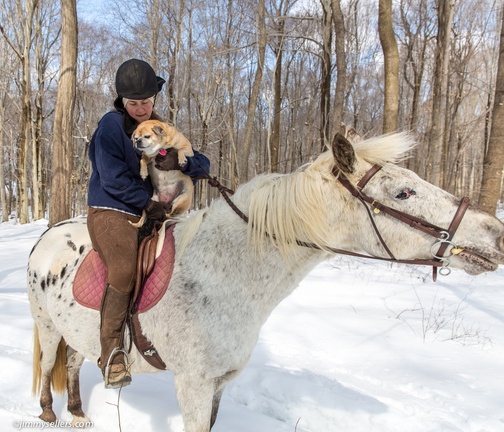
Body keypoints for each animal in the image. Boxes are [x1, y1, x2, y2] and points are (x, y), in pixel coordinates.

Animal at [27, 133, 504, 430]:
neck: (223, 275)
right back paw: (49, 415)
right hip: (48, 327)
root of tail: (48, 236)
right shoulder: (194, 385)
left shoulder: (218, 385)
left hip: (79, 334)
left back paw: (78, 414)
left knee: (73, 364)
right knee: (51, 363)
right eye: (404, 192)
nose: (494, 232)